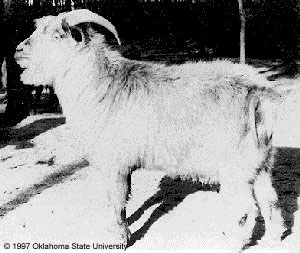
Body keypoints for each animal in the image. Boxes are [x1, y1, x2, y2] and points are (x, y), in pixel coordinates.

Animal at [14, 8, 286, 250]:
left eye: (57, 36)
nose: (18, 51)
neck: (101, 85)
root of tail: (259, 93)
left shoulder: (114, 162)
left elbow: (116, 201)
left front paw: (118, 239)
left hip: (234, 167)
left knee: (244, 210)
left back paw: (231, 244)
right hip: (259, 162)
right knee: (270, 200)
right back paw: (273, 240)